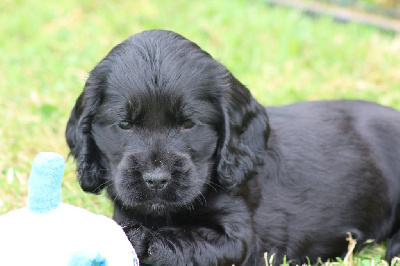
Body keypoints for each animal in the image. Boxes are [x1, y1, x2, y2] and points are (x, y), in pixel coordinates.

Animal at [65, 29, 400, 266]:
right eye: (124, 124)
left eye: (189, 124)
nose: (156, 180)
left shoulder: (238, 239)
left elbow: (186, 241)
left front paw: (137, 238)